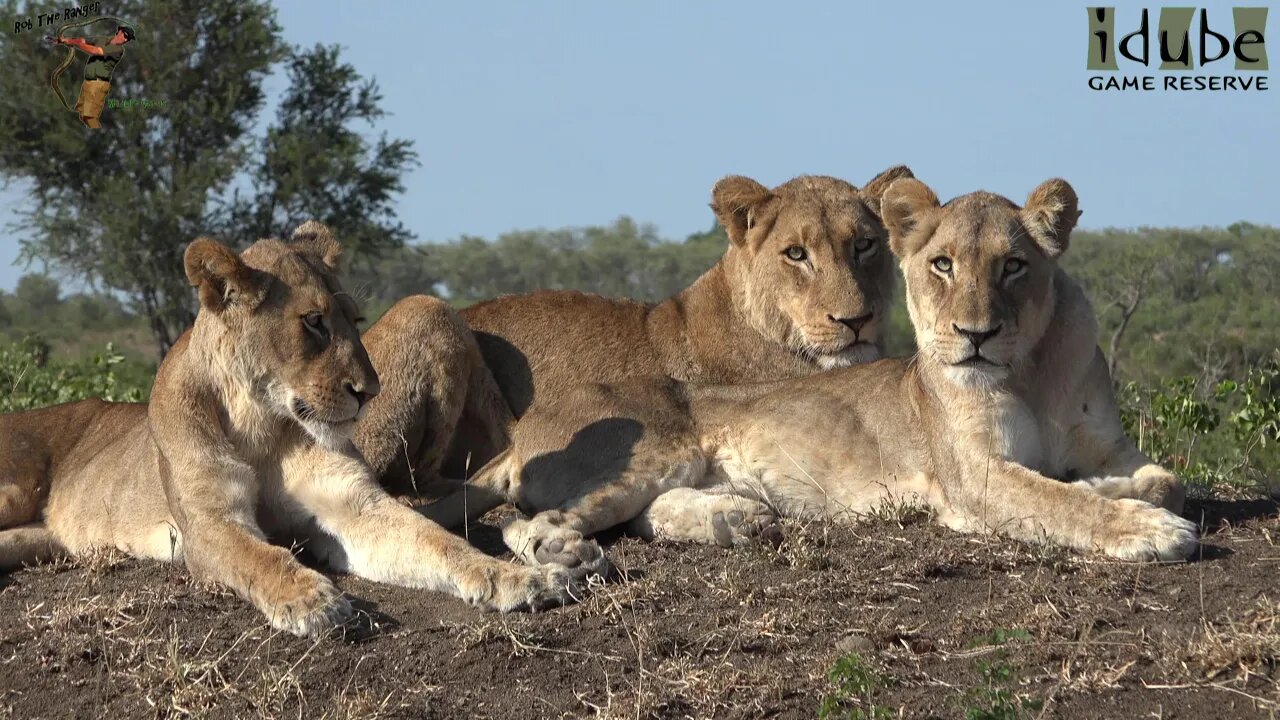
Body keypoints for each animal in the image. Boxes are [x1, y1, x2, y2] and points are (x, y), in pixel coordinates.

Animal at [0, 222, 573, 632]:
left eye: (355, 320)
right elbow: (258, 554)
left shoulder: (349, 502)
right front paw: (309, 599)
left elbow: (435, 542)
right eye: (314, 322)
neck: (261, 421)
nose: (371, 390)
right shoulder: (206, 523)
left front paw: (517, 578)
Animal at [442, 176, 1198, 568]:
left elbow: (1155, 477)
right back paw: (564, 551)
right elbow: (1059, 502)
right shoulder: (972, 477)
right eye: (942, 265)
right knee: (524, 522)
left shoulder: (1109, 444)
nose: (975, 336)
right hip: (651, 449)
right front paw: (1148, 531)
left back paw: (736, 518)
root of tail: (531, 424)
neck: (1030, 369)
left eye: (1014, 265)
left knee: (641, 514)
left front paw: (1122, 490)